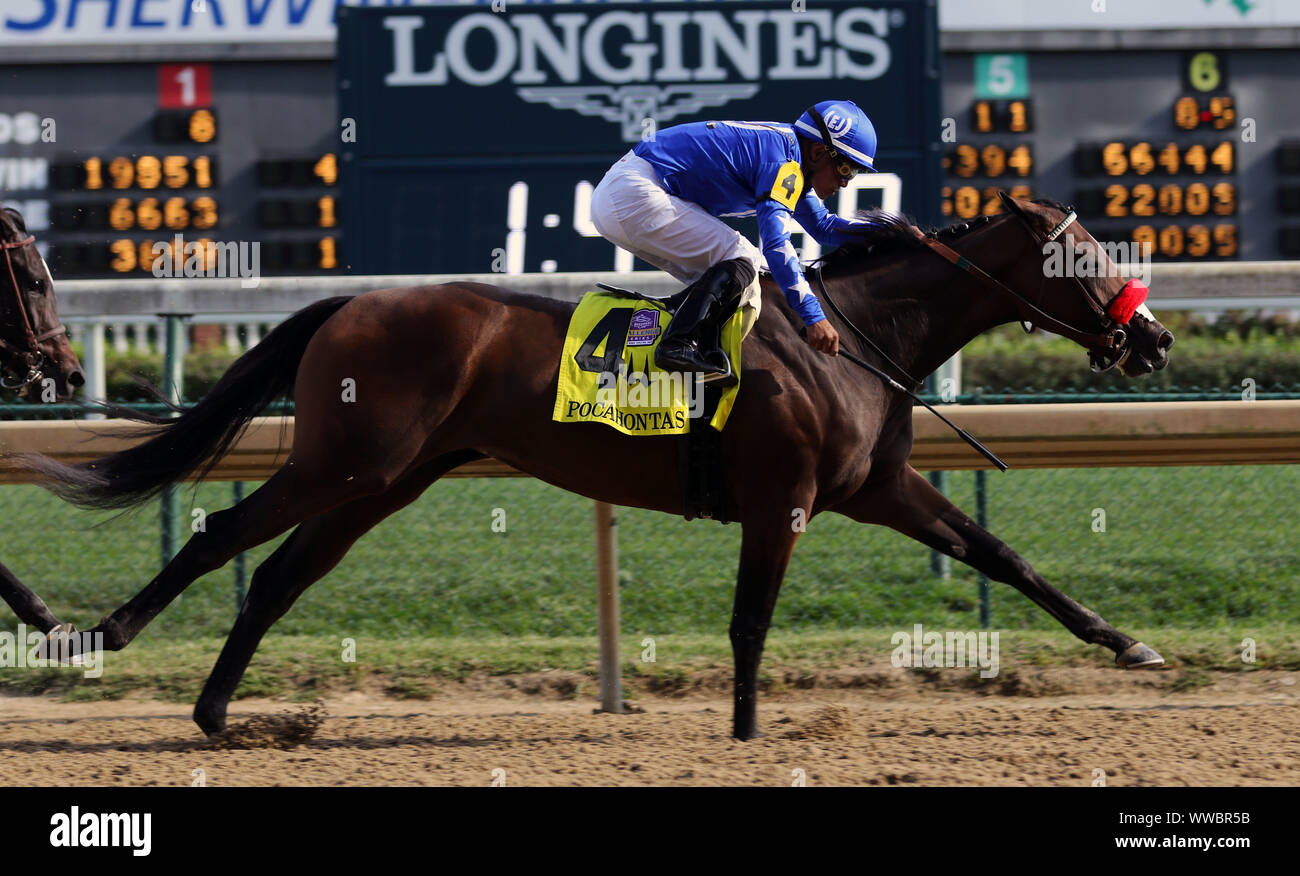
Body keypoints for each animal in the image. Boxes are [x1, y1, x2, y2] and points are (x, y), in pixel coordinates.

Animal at [22, 192, 1180, 738]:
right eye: (1081, 255)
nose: (1156, 339)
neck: (848, 333)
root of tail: (350, 301)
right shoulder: (786, 498)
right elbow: (750, 619)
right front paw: (746, 730)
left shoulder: (875, 488)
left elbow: (1001, 553)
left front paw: (1130, 645)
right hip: (347, 463)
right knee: (224, 534)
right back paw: (97, 638)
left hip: (386, 480)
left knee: (276, 574)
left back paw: (219, 713)